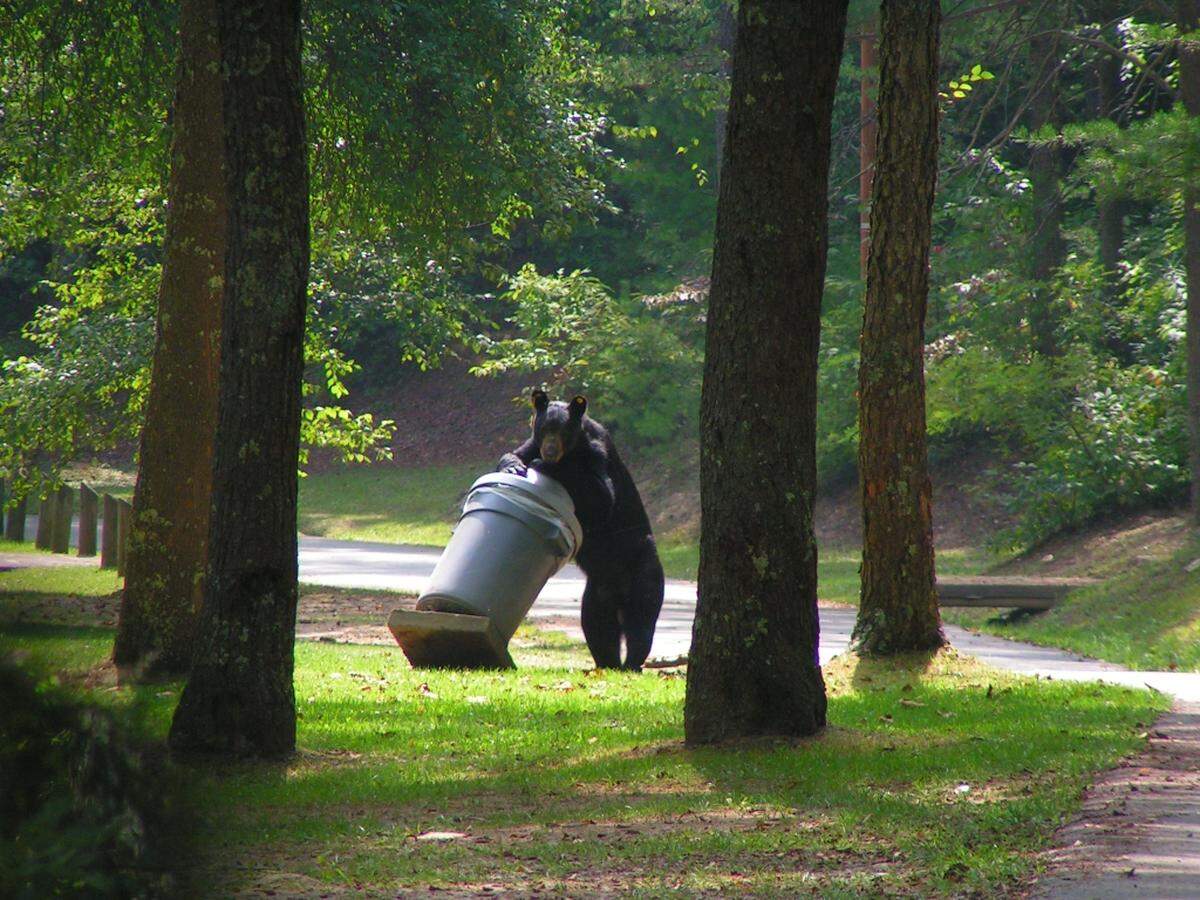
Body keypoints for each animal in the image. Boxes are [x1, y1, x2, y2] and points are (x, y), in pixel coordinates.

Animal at [498, 390, 664, 671]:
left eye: (563, 431)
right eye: (545, 427)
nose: (550, 450)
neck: (573, 451)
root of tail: (616, 586)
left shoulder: (598, 453)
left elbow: (603, 495)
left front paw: (544, 465)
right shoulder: (532, 442)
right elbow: (515, 453)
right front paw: (512, 465)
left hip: (643, 568)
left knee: (641, 620)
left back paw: (631, 663)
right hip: (597, 591)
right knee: (597, 626)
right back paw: (607, 663)